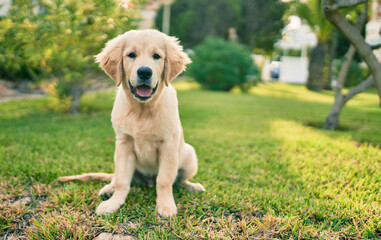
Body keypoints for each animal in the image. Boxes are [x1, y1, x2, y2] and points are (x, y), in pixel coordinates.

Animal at [58, 30, 205, 218]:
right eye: (131, 55)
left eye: (157, 56)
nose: (144, 72)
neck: (142, 110)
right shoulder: (124, 144)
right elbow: (122, 181)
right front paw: (113, 204)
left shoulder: (168, 145)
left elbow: (165, 180)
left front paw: (165, 205)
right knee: (116, 177)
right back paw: (108, 189)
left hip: (189, 155)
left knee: (178, 180)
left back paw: (192, 186)